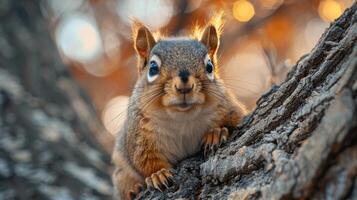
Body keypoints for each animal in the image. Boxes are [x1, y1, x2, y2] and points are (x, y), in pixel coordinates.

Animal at [112, 18, 246, 199]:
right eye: (153, 68)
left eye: (209, 66)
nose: (185, 86)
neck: (182, 117)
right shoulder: (138, 137)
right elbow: (144, 161)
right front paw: (158, 174)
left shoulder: (230, 109)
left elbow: (236, 121)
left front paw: (215, 133)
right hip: (120, 174)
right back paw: (133, 189)